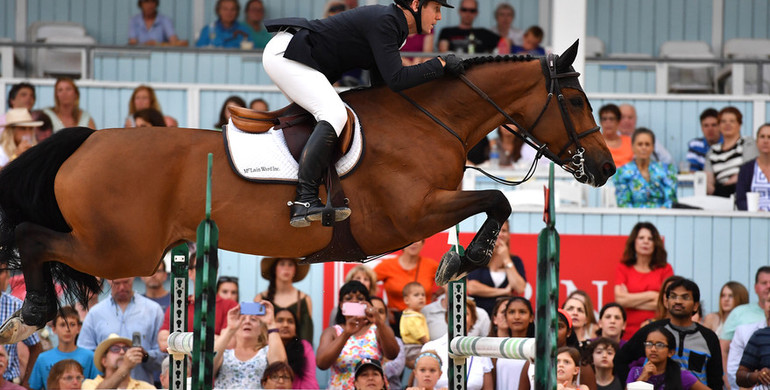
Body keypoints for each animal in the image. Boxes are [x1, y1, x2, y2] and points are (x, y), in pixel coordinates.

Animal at [0, 40, 612, 344]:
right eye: (575, 101)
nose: (605, 169)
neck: (427, 119)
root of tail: (86, 140)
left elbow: (493, 204)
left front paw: (458, 261)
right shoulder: (409, 215)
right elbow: (497, 201)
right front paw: (461, 262)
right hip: (121, 248)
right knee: (31, 236)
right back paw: (31, 311)